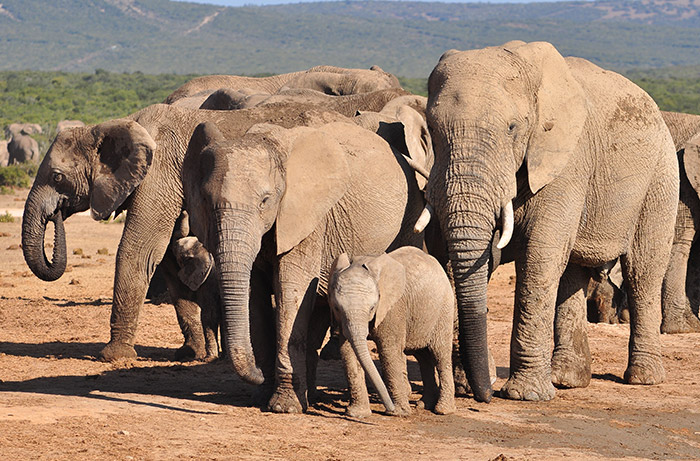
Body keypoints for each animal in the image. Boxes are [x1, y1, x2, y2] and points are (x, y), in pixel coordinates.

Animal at [20, 102, 348, 362]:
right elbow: (166, 260)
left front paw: (113, 356)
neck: (113, 125)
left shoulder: (159, 173)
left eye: (57, 177)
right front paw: (190, 354)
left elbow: (139, 249)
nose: (55, 214)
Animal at [182, 112, 432, 414]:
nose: (258, 373)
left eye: (265, 201)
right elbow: (255, 294)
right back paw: (310, 396)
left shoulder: (308, 217)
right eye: (206, 201)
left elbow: (292, 288)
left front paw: (284, 407)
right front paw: (261, 397)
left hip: (410, 213)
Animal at [326, 248, 454, 416]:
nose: (389, 407)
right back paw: (424, 405)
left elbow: (389, 351)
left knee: (440, 354)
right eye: (336, 308)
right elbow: (348, 351)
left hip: (444, 309)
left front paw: (398, 413)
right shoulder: (342, 320)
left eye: (372, 308)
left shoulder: (393, 309)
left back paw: (443, 409)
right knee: (423, 356)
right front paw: (357, 413)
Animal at [422, 43, 680, 402]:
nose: (485, 394)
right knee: (573, 271)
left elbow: (539, 256)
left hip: (661, 176)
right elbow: (458, 259)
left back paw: (643, 379)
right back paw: (566, 380)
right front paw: (466, 387)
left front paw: (524, 395)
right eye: (431, 129)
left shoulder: (566, 161)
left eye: (512, 128)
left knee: (642, 271)